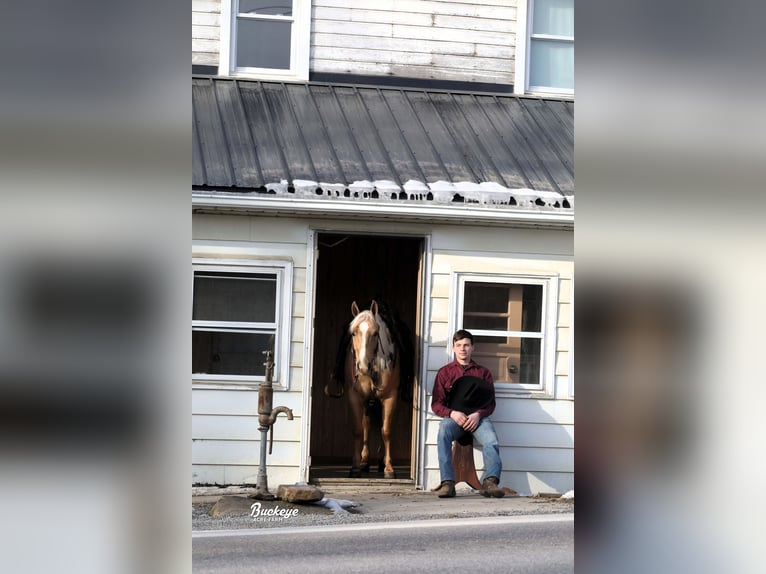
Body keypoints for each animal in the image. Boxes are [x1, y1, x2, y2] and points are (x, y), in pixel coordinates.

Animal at [328, 302, 404, 482]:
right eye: (353, 332)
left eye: (375, 333)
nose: (362, 367)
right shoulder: (355, 397)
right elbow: (358, 430)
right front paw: (355, 467)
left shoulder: (390, 397)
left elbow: (386, 430)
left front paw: (389, 468)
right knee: (366, 425)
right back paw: (364, 461)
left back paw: (381, 462)